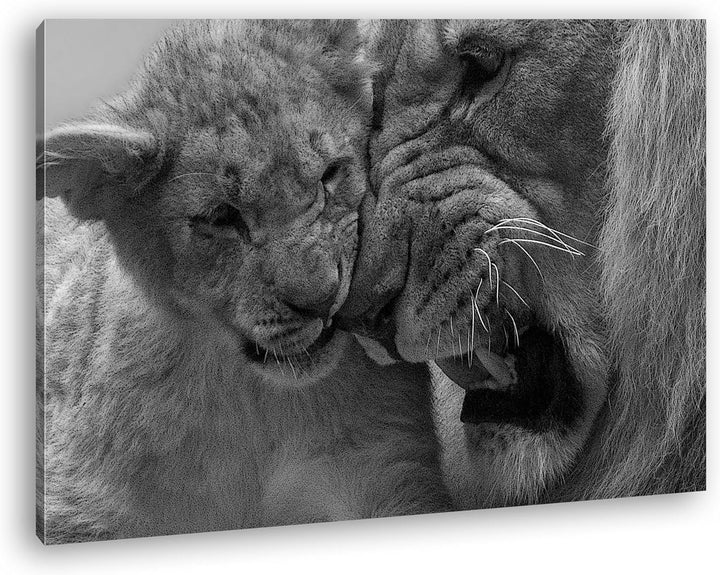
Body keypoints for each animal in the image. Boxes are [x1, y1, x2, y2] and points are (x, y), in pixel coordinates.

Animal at [36, 20, 449, 544]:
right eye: (221, 217)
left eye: (331, 174)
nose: (322, 301)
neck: (253, 402)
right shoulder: (78, 509)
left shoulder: (388, 470)